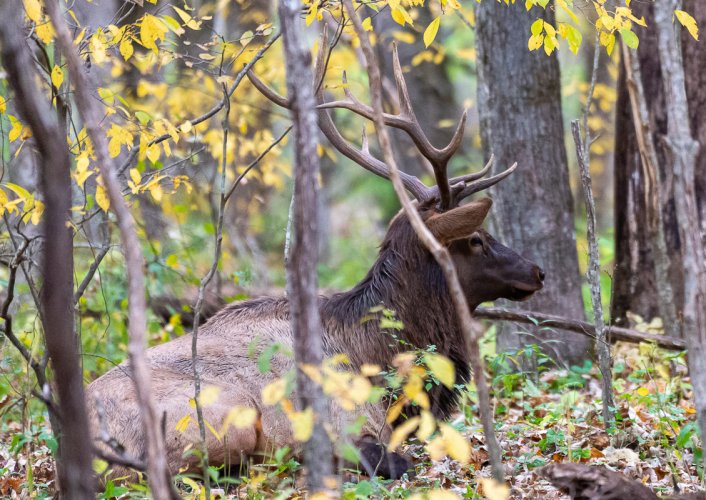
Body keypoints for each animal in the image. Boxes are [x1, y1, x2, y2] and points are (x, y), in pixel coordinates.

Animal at [84, 36, 544, 480]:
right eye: (476, 239)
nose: (537, 271)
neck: (380, 363)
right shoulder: (342, 424)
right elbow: (394, 462)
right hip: (224, 417)